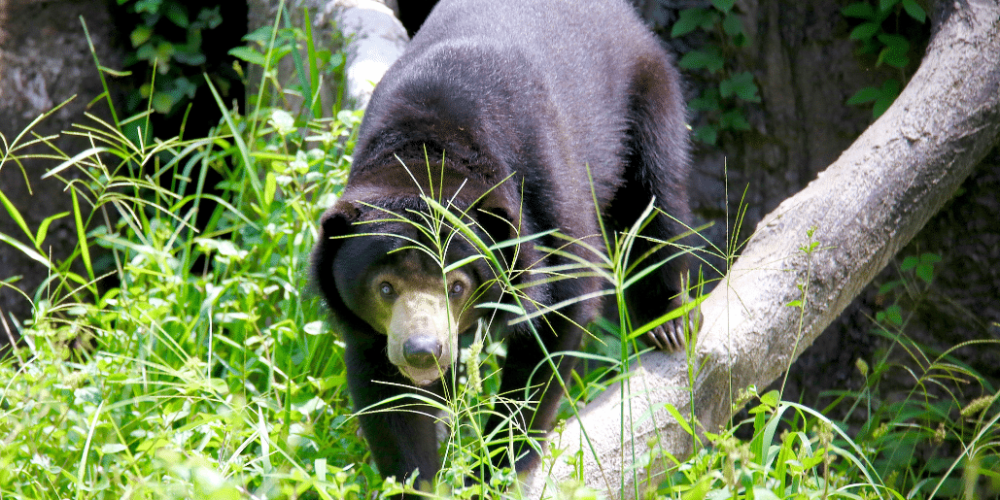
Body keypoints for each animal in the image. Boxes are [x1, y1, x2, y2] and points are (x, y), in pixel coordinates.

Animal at [310, 0, 688, 488]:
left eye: (457, 286)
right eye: (385, 287)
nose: (422, 351)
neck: (431, 146)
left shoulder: (544, 190)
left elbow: (559, 315)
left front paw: (496, 468)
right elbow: (384, 384)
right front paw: (423, 482)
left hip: (645, 90)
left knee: (655, 192)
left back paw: (669, 322)